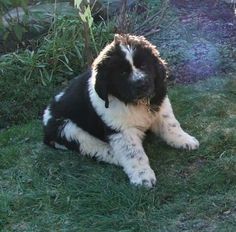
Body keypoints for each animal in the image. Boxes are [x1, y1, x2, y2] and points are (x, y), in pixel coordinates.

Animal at [42, 34, 199, 187]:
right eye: (122, 73)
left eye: (143, 65)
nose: (141, 84)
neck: (134, 102)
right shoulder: (121, 130)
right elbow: (133, 153)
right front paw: (143, 177)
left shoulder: (160, 104)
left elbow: (170, 125)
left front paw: (184, 140)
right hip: (68, 128)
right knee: (92, 146)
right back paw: (115, 157)